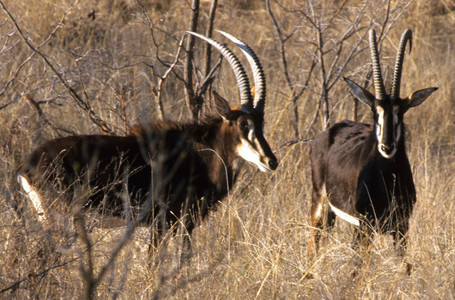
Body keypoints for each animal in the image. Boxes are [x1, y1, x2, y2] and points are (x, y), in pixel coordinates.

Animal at [16, 31, 278, 255]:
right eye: (242, 124)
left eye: (261, 123)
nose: (271, 161)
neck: (200, 154)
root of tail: (27, 165)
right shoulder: (162, 223)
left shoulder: (184, 225)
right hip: (57, 218)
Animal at [310, 28, 438, 258]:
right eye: (375, 112)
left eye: (400, 113)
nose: (387, 147)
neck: (387, 176)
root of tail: (325, 135)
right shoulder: (364, 225)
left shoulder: (402, 226)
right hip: (320, 204)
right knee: (313, 244)